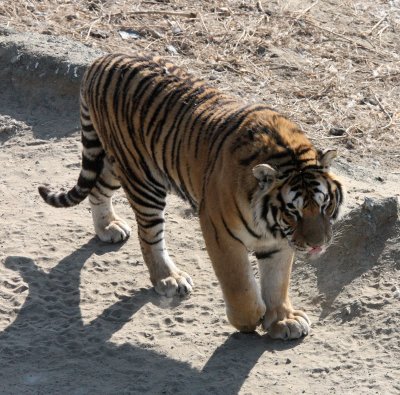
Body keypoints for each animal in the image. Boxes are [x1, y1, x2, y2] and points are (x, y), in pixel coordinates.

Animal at [38, 53, 344, 340]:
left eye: (324, 205)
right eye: (293, 211)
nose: (317, 245)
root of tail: (104, 58)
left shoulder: (278, 242)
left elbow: (277, 281)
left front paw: (283, 321)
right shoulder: (220, 232)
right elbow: (239, 283)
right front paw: (249, 319)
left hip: (117, 165)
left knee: (97, 188)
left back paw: (108, 227)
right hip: (142, 179)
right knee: (149, 236)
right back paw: (169, 279)